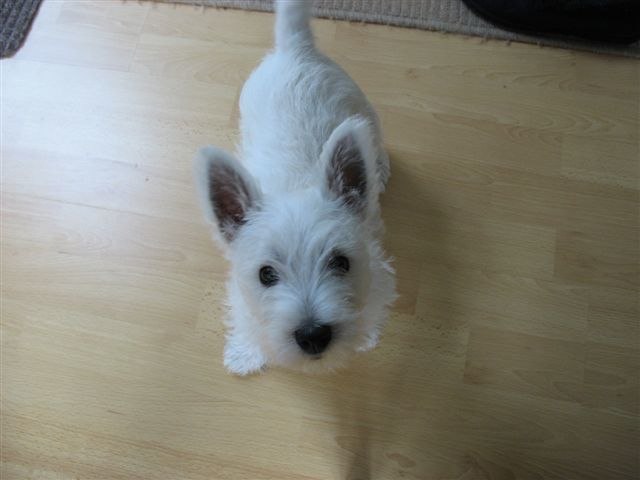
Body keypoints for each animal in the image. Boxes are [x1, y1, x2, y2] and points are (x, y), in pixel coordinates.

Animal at [195, 0, 396, 376]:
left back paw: (380, 166)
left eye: (341, 262)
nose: (313, 335)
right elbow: (246, 317)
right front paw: (244, 353)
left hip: (362, 108)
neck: (293, 181)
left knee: (373, 137)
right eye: (266, 274)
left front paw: (365, 336)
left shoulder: (378, 274)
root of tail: (295, 49)